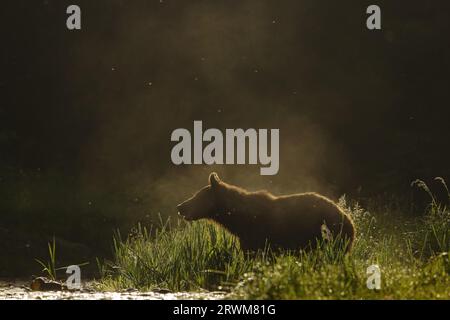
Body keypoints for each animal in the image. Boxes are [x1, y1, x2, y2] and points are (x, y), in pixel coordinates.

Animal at [176, 172, 356, 252]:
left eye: (196, 196)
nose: (180, 206)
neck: (238, 219)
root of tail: (349, 219)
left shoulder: (259, 235)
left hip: (326, 234)